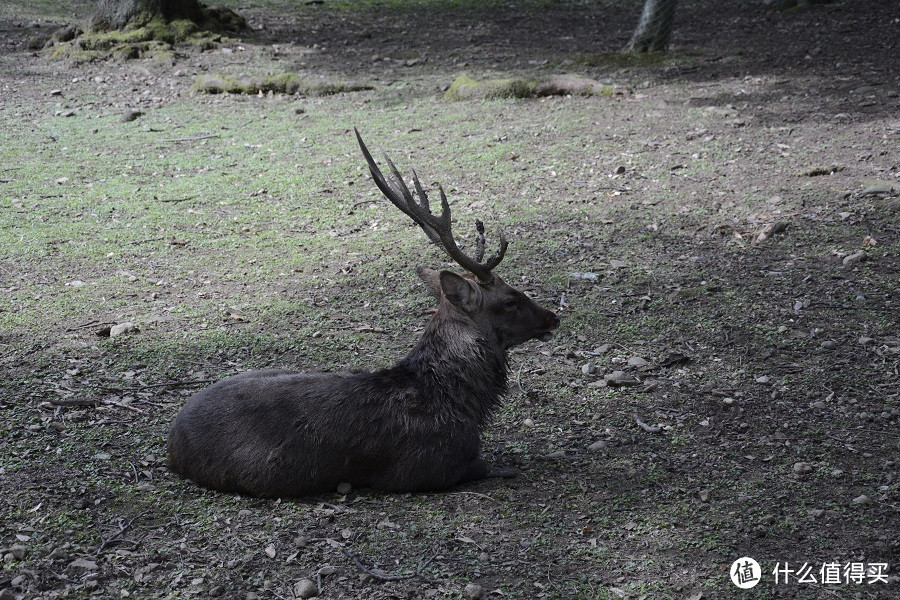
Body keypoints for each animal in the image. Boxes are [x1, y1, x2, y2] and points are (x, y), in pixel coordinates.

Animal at [166, 130, 560, 496]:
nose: (552, 317)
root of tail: (172, 443)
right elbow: (494, 466)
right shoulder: (427, 468)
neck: (459, 404)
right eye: (510, 300)